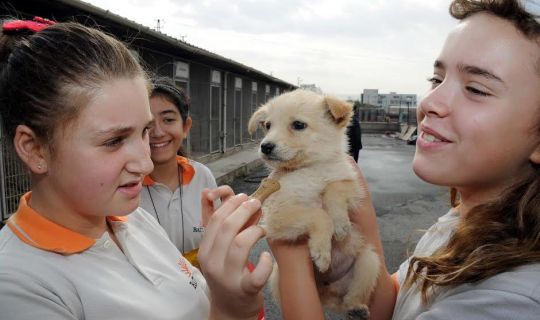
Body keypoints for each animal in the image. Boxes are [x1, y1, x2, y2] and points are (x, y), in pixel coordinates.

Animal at [248, 89, 380, 318]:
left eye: (298, 125)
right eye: (267, 125)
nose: (265, 146)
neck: (310, 169)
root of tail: (329, 292)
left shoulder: (353, 186)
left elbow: (334, 188)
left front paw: (341, 224)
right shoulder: (277, 215)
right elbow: (319, 215)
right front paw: (322, 252)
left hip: (369, 261)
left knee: (352, 297)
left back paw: (356, 308)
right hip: (277, 276)